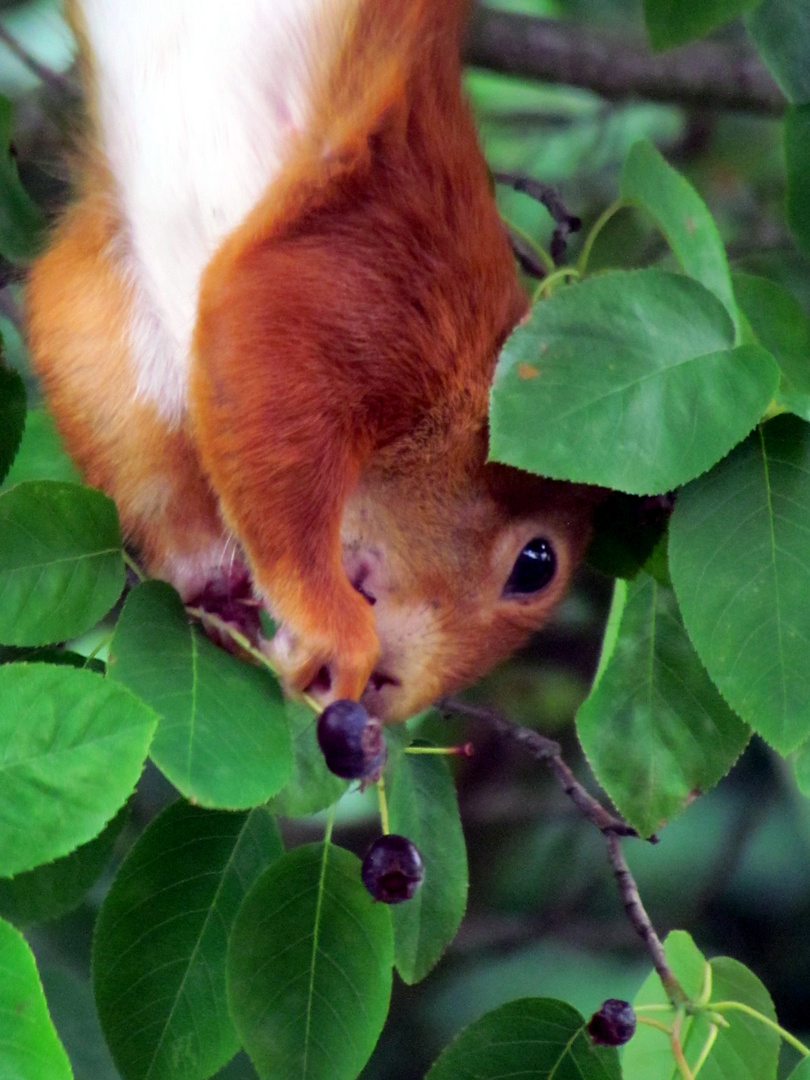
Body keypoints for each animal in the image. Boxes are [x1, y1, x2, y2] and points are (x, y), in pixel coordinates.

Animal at [25, 6, 596, 725]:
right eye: (536, 564)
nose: (388, 694)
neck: (472, 367)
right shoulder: (374, 267)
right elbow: (262, 334)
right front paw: (330, 626)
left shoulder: (112, 272)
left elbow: (89, 339)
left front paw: (208, 573)